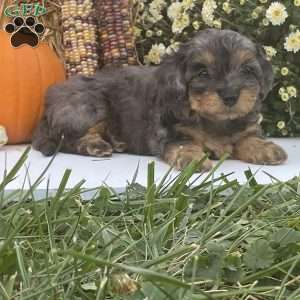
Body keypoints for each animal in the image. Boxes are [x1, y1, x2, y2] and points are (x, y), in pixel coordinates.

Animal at [31, 30, 288, 171]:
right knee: (66, 138)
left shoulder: (245, 127)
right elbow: (184, 145)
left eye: (246, 70)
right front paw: (193, 158)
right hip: (90, 105)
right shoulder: (170, 133)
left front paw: (266, 149)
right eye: (203, 73)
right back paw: (97, 145)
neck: (215, 120)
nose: (230, 96)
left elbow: (249, 138)